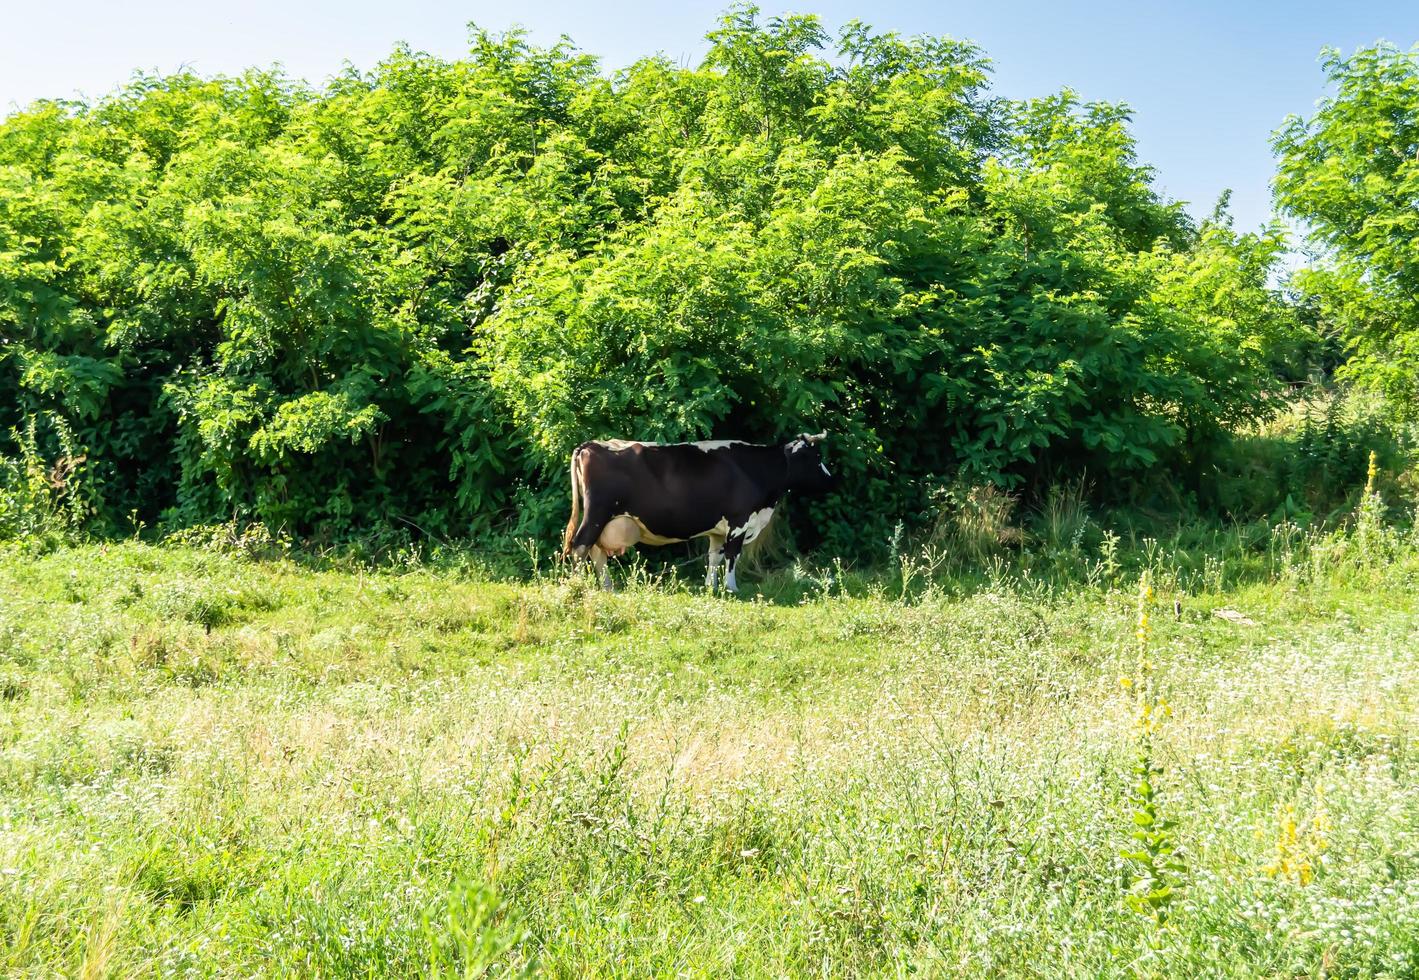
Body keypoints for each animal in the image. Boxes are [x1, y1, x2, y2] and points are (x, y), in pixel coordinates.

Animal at [559, 433, 834, 589]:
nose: (833, 480)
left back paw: (607, 587)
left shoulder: (718, 530)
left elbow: (714, 557)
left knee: (595, 551)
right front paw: (731, 588)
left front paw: (711, 586)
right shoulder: (739, 521)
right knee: (580, 546)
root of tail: (591, 445)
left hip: (602, 519)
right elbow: (732, 556)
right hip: (597, 513)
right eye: (816, 457)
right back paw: (578, 585)